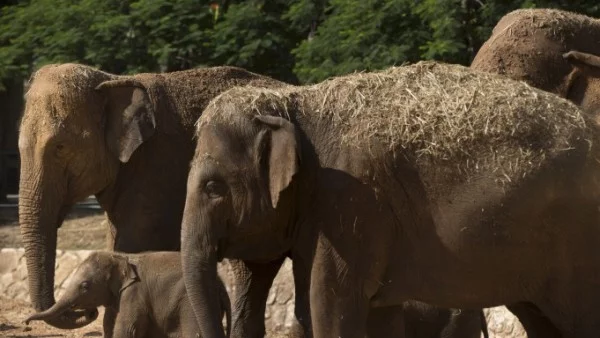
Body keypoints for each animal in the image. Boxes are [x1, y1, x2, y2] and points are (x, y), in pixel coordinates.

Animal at [25, 251, 230, 338]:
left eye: (85, 286)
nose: (26, 323)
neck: (119, 257)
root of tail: (221, 285)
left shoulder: (134, 293)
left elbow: (127, 328)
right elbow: (110, 324)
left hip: (189, 304)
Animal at [179, 60, 600, 338]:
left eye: (213, 188)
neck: (292, 102)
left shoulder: (350, 205)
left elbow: (329, 306)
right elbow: (374, 314)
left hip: (578, 247)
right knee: (540, 319)